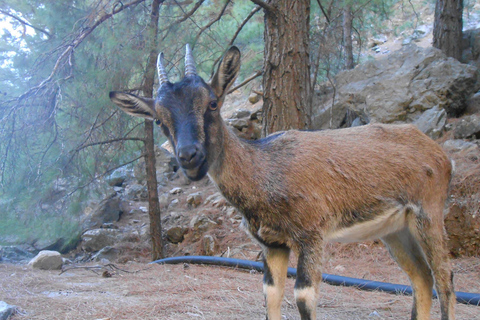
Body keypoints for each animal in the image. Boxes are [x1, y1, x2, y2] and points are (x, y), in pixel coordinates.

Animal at [110, 45, 456, 320]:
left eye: (212, 103)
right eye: (158, 118)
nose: (189, 156)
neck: (267, 172)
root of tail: (438, 152)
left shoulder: (313, 234)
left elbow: (304, 298)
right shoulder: (273, 244)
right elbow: (270, 295)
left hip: (429, 213)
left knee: (445, 280)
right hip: (395, 230)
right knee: (422, 280)